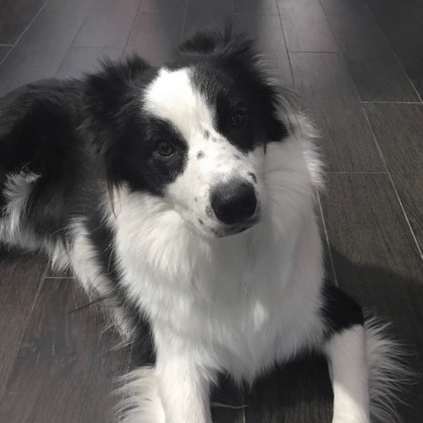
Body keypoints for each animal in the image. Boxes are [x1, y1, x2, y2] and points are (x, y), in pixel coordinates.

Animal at [0, 28, 405, 423]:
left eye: (238, 118)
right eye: (163, 147)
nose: (236, 203)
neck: (228, 254)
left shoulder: (340, 312)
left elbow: (352, 409)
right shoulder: (176, 358)